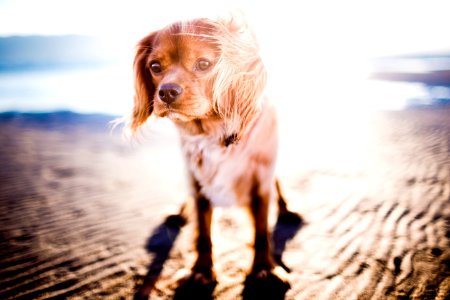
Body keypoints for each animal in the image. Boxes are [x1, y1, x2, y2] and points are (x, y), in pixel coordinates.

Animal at [128, 16, 300, 292]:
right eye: (155, 66)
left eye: (204, 64)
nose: (166, 92)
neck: (213, 131)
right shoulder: (197, 180)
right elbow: (203, 233)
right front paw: (201, 271)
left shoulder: (260, 179)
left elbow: (262, 230)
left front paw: (264, 269)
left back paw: (286, 209)